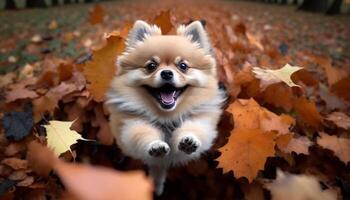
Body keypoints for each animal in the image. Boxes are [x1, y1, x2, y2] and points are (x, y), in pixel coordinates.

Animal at [106, 19, 224, 195]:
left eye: (183, 66)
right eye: (151, 66)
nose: (167, 73)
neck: (167, 116)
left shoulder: (201, 120)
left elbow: (196, 130)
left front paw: (189, 141)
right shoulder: (133, 124)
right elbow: (142, 136)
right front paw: (155, 145)